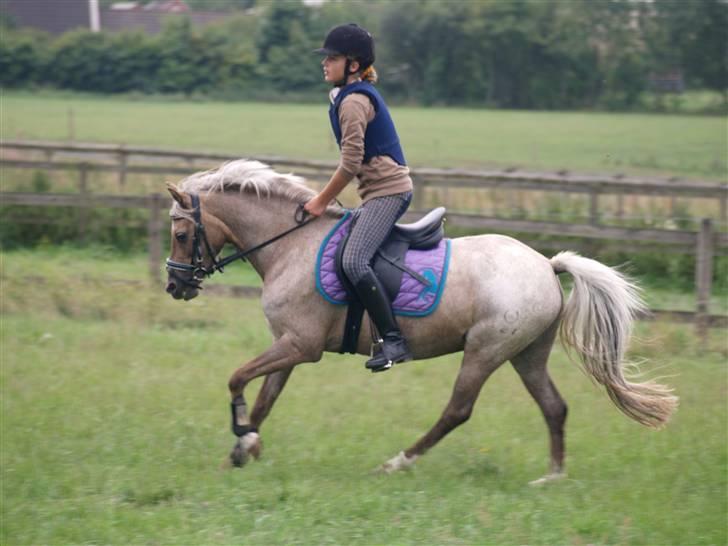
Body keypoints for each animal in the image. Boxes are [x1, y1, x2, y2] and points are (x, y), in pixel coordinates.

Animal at [164, 159, 677, 483]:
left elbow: (237, 378)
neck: (291, 244)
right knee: (554, 407)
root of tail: (547, 266)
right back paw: (552, 477)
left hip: (486, 349)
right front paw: (242, 450)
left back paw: (396, 464)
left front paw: (240, 439)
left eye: (182, 233)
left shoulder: (300, 346)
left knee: (457, 411)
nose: (175, 287)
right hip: (527, 353)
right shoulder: (287, 344)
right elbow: (264, 398)